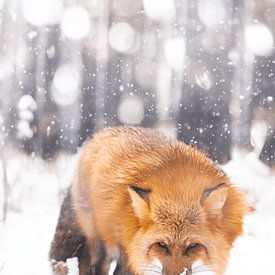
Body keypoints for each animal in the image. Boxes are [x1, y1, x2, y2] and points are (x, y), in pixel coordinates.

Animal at [50, 127, 250, 275]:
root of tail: (100, 133)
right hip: (97, 240)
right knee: (88, 263)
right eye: (161, 245)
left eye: (193, 246)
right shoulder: (130, 252)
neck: (178, 189)